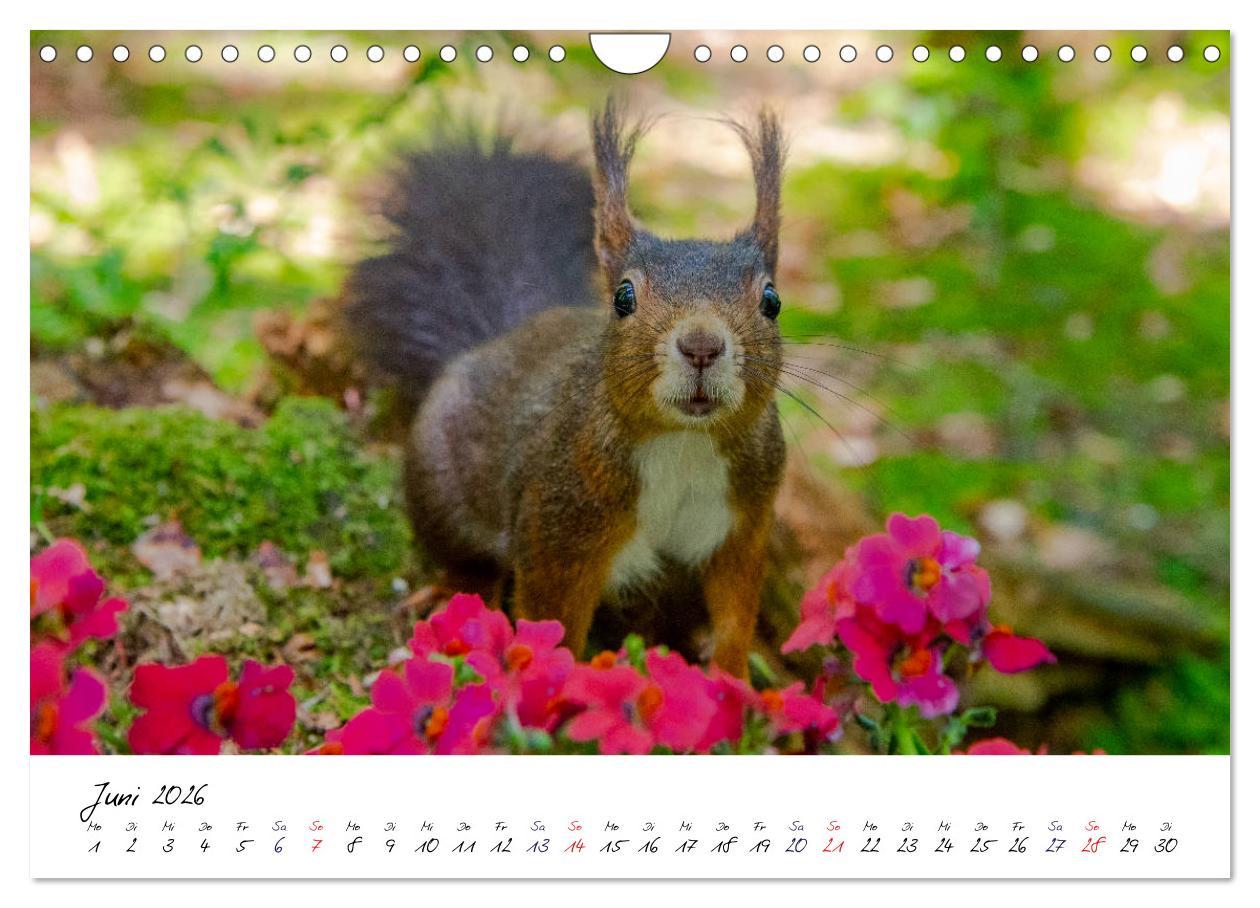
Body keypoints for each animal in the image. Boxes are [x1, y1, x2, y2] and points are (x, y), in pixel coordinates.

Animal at [345, 101, 787, 677]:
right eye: (623, 297)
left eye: (772, 301)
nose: (701, 347)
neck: (684, 443)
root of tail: (498, 340)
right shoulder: (557, 520)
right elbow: (552, 615)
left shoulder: (746, 520)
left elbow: (736, 608)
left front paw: (734, 682)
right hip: (437, 483)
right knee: (463, 558)